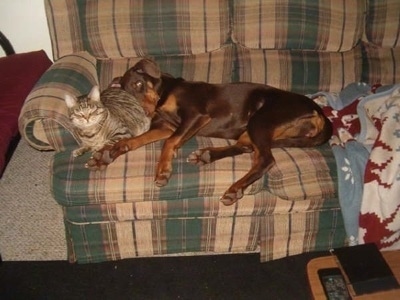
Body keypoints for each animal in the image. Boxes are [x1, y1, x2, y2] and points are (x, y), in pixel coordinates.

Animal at [88, 59, 334, 204]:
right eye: (128, 93)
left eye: (139, 84)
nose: (147, 113)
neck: (164, 92)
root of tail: (317, 111)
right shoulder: (166, 126)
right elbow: (135, 140)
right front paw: (108, 153)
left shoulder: (195, 116)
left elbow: (170, 142)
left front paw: (163, 171)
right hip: (254, 129)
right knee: (247, 148)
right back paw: (207, 155)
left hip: (261, 119)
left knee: (265, 159)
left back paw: (234, 188)